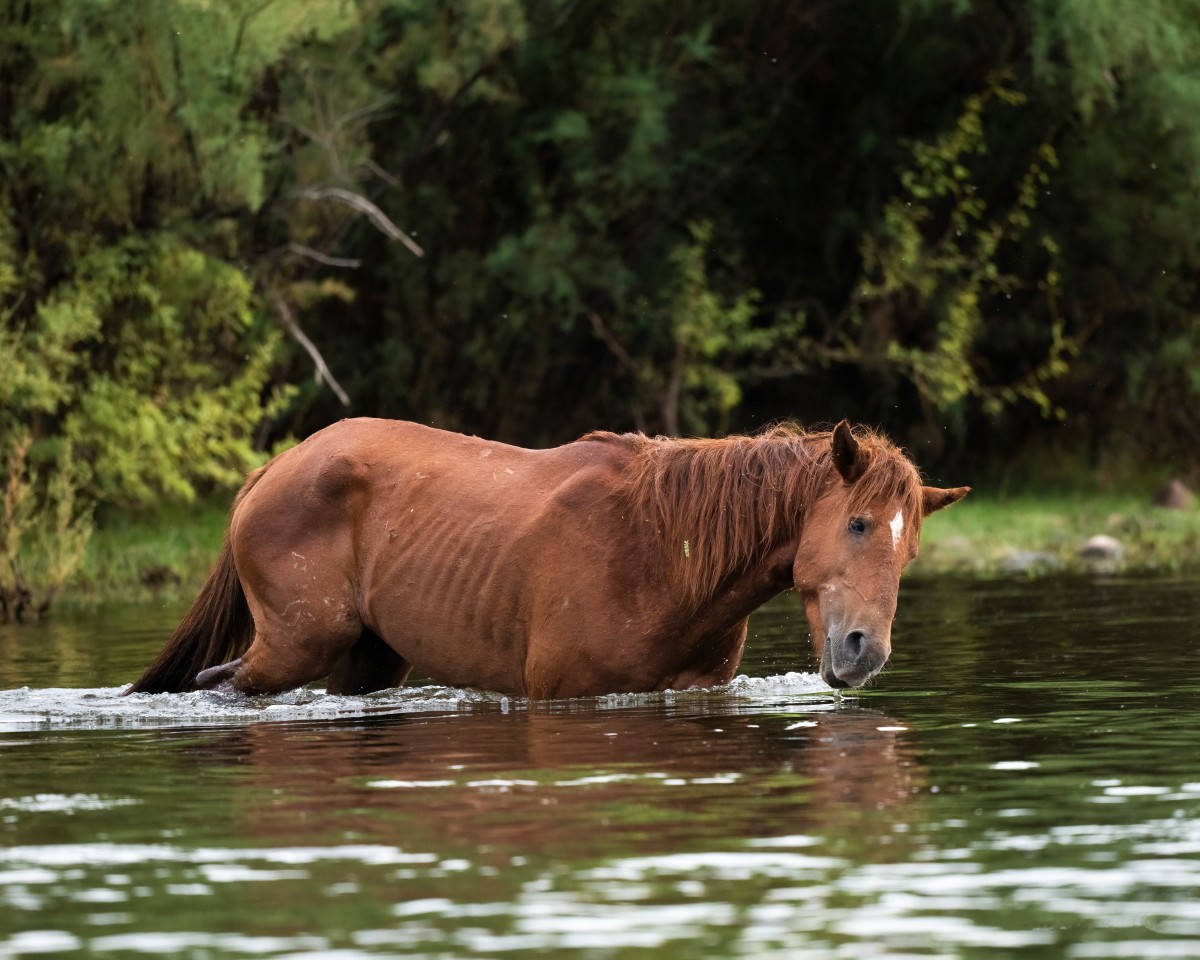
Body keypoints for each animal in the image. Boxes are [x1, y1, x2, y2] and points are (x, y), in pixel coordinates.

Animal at [126, 418, 967, 699]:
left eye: (908, 550)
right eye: (858, 525)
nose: (863, 652)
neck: (659, 555)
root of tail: (275, 467)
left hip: (368, 659)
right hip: (293, 647)